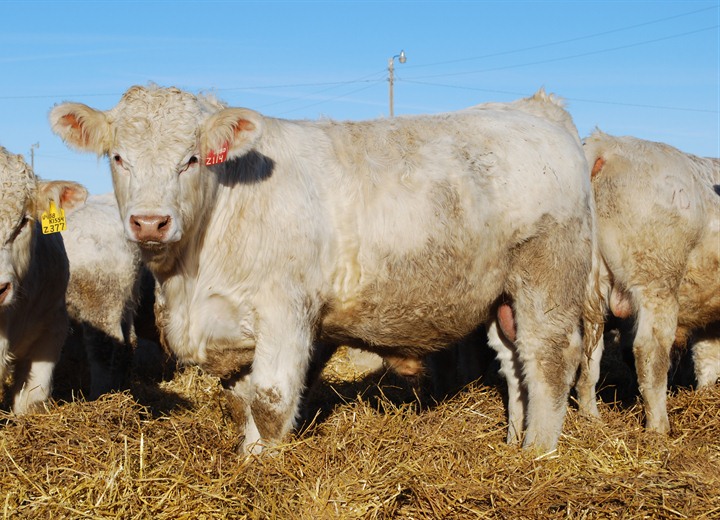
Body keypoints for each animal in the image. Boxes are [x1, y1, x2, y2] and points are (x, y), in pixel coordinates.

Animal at [50, 85, 603, 454]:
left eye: (192, 159)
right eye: (117, 157)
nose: (150, 221)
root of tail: (536, 108)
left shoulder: (285, 310)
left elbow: (271, 401)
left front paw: (264, 470)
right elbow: (244, 401)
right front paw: (248, 459)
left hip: (548, 277)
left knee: (550, 359)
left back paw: (536, 455)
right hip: (502, 296)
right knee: (515, 364)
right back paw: (513, 442)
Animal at [576, 131, 720, 432]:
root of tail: (606, 145)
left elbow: (707, 357)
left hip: (589, 292)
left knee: (588, 354)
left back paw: (590, 416)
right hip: (657, 284)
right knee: (649, 353)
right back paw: (658, 427)